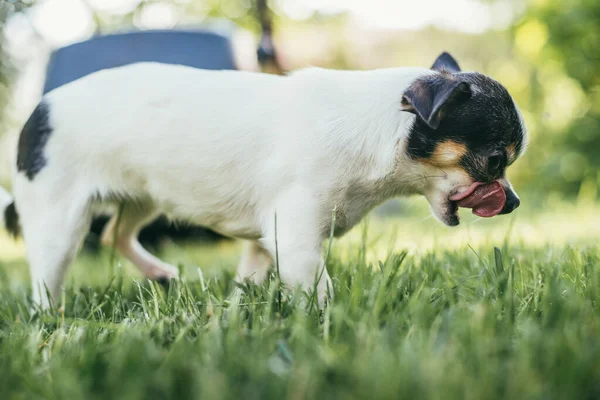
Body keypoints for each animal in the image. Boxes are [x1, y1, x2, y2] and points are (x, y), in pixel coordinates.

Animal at [0, 52, 524, 310]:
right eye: (495, 160)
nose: (514, 202)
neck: (380, 129)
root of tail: (36, 111)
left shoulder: (265, 242)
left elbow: (250, 279)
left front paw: (238, 313)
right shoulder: (295, 240)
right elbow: (317, 290)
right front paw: (327, 323)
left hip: (144, 196)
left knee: (115, 233)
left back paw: (159, 272)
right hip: (61, 222)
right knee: (49, 279)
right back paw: (49, 319)